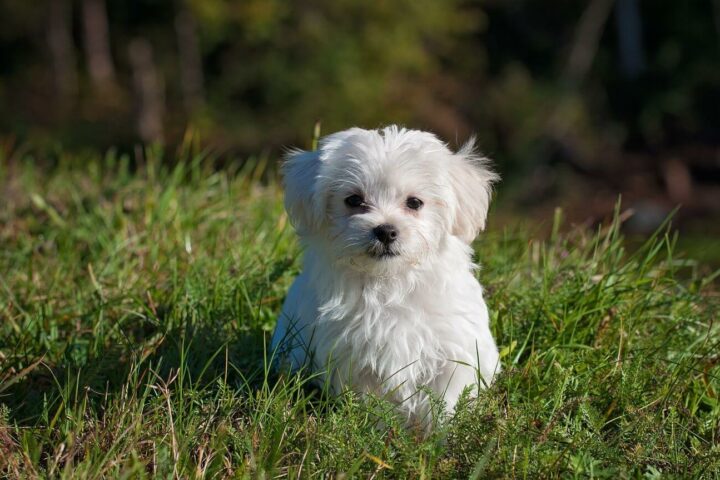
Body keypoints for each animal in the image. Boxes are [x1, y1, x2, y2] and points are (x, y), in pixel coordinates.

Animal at [270, 125, 500, 430]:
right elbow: (371, 402)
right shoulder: (354, 358)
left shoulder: (453, 352)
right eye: (354, 200)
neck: (390, 282)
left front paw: (441, 435)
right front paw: (377, 431)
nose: (386, 230)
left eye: (415, 203)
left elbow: (447, 399)